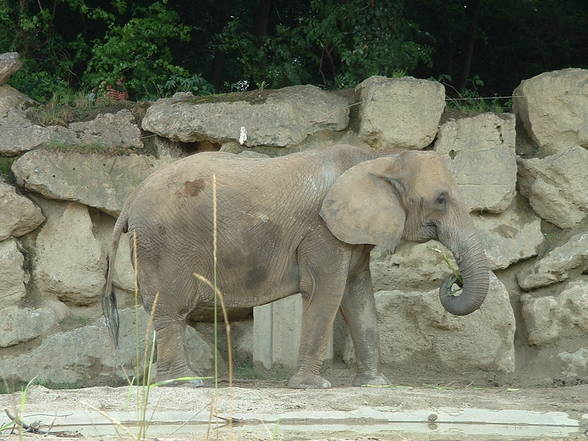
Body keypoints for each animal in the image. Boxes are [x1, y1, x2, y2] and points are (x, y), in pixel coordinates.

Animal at [102, 143, 492, 386]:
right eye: (441, 200)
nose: (453, 277)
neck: (377, 157)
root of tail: (131, 198)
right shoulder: (321, 231)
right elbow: (327, 292)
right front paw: (312, 386)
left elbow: (358, 297)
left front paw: (376, 385)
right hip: (165, 244)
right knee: (171, 308)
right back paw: (187, 383)